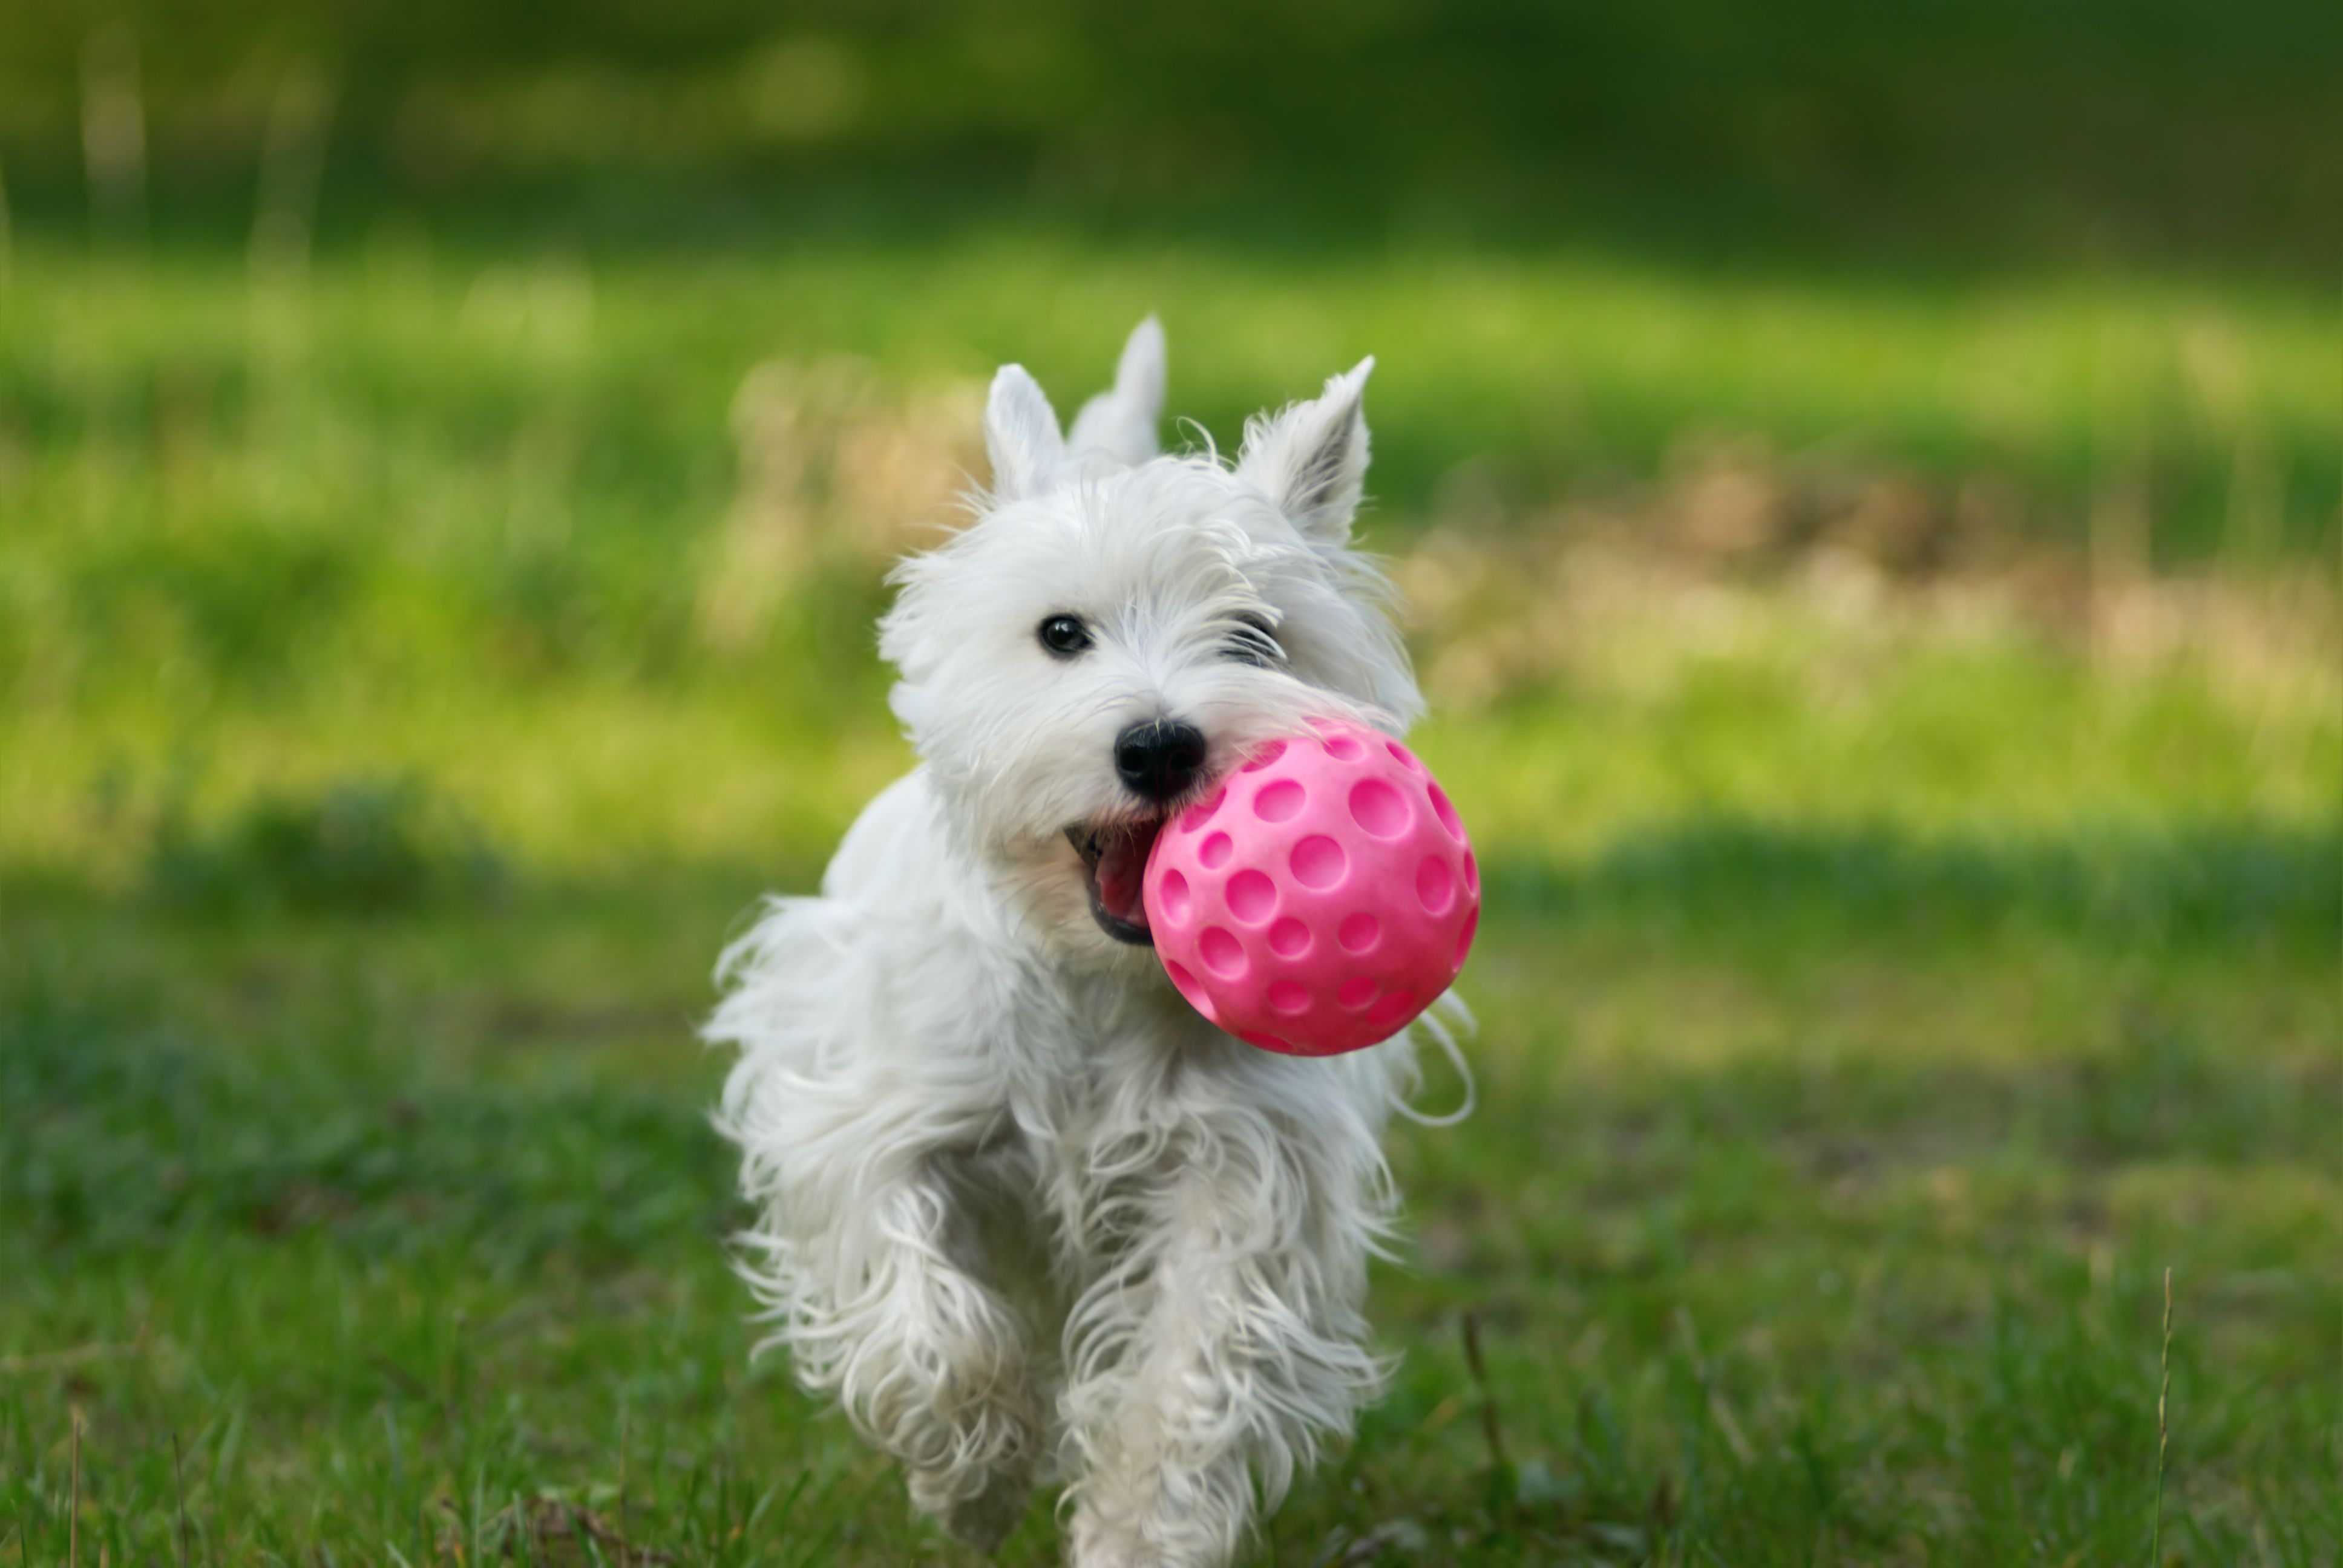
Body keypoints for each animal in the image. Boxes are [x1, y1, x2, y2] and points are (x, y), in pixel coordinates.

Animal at [712, 321, 1452, 1566]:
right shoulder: (873, 1113)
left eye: (1254, 636)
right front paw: (974, 1476)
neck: (1093, 982)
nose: (1158, 746)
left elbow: (1186, 1368)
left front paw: (1135, 1532)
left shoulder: (1239, 1165)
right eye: (1060, 633)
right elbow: (923, 1309)